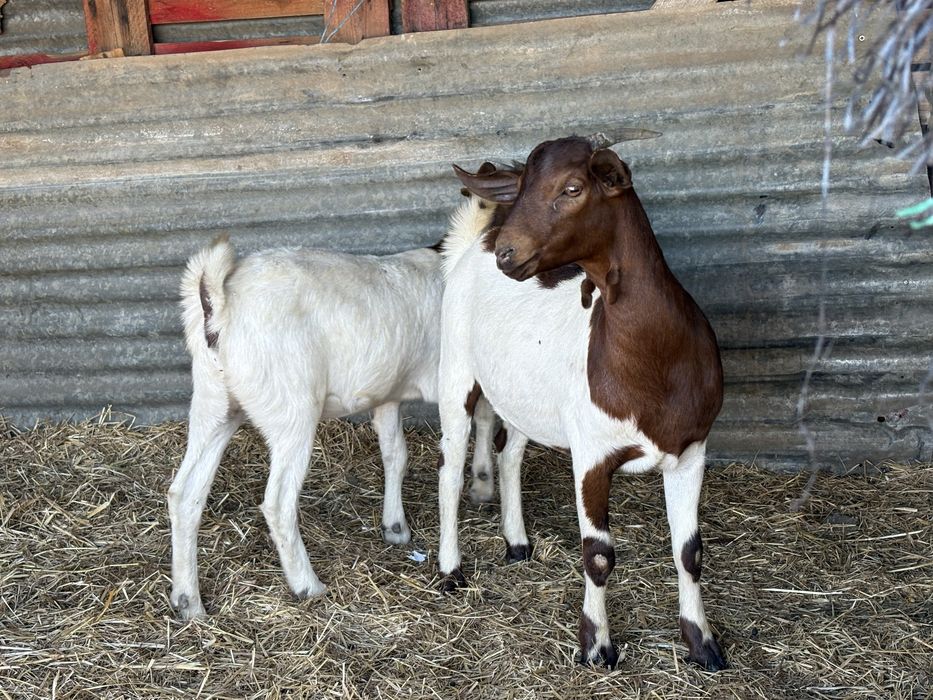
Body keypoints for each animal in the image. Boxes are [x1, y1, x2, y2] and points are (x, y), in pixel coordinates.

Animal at [169, 236, 500, 620]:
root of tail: (220, 301)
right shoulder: (460, 377)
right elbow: (487, 416)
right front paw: (482, 484)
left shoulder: (387, 393)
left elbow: (396, 454)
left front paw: (395, 527)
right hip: (292, 409)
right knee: (278, 503)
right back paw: (306, 585)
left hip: (213, 403)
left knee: (184, 494)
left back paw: (188, 601)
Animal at [436, 135, 727, 671]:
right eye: (522, 188)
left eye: (573, 188)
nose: (508, 253)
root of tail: (475, 242)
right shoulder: (591, 456)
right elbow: (598, 554)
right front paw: (596, 646)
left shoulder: (692, 449)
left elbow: (690, 551)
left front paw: (703, 644)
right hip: (456, 369)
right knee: (449, 469)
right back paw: (451, 571)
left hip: (524, 395)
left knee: (509, 453)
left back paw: (517, 542)